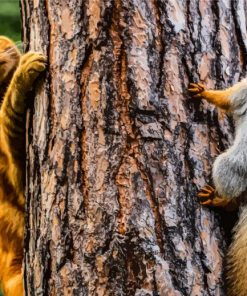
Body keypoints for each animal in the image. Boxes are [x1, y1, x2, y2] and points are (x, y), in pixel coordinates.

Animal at [188, 81, 247, 296]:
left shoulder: (243, 91)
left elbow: (227, 99)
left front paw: (205, 93)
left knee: (232, 193)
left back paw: (219, 200)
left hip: (229, 166)